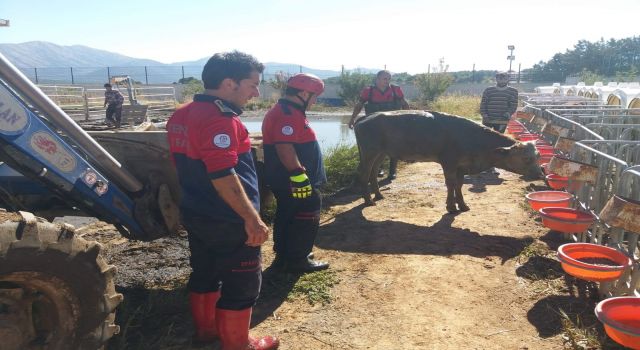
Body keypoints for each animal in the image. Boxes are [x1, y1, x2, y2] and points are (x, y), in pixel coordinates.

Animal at [352, 110, 544, 212]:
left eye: (538, 156)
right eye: (526, 158)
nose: (540, 174)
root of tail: (364, 117)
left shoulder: (462, 167)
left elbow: (459, 185)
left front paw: (462, 205)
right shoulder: (449, 163)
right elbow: (450, 184)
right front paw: (451, 206)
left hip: (381, 153)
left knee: (373, 172)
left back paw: (378, 195)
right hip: (370, 151)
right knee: (363, 173)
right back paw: (368, 201)